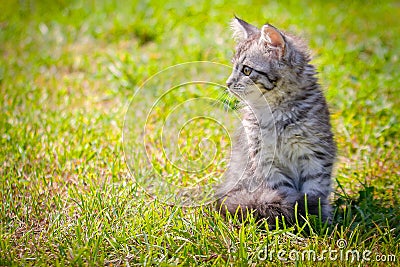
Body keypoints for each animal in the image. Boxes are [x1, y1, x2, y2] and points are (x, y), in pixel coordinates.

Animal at [217, 17, 336, 226]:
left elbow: (315, 191)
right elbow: (286, 194)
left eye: (246, 70)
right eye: (233, 67)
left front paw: (318, 222)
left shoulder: (316, 153)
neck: (275, 112)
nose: (228, 83)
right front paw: (295, 222)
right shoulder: (266, 161)